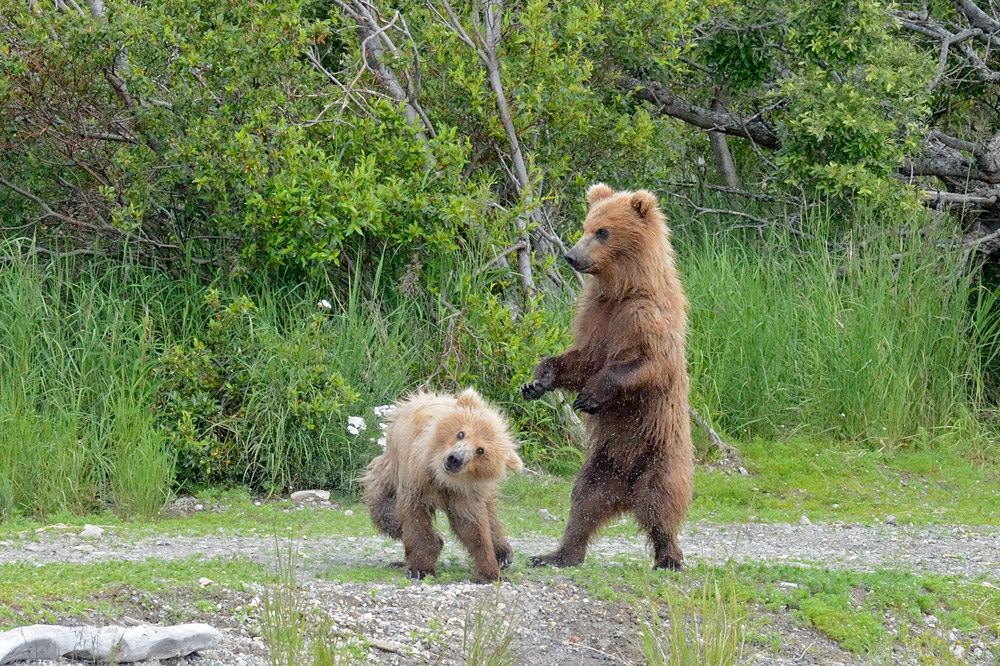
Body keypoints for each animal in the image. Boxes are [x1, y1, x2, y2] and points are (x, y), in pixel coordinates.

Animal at [520, 182, 692, 564]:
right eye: (586, 227)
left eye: (603, 232)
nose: (570, 256)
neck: (623, 290)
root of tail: (625, 495)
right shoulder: (596, 317)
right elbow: (580, 360)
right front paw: (537, 381)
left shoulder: (646, 319)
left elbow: (645, 365)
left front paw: (590, 396)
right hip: (601, 463)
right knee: (584, 501)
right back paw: (558, 554)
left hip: (659, 454)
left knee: (661, 502)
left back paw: (669, 557)